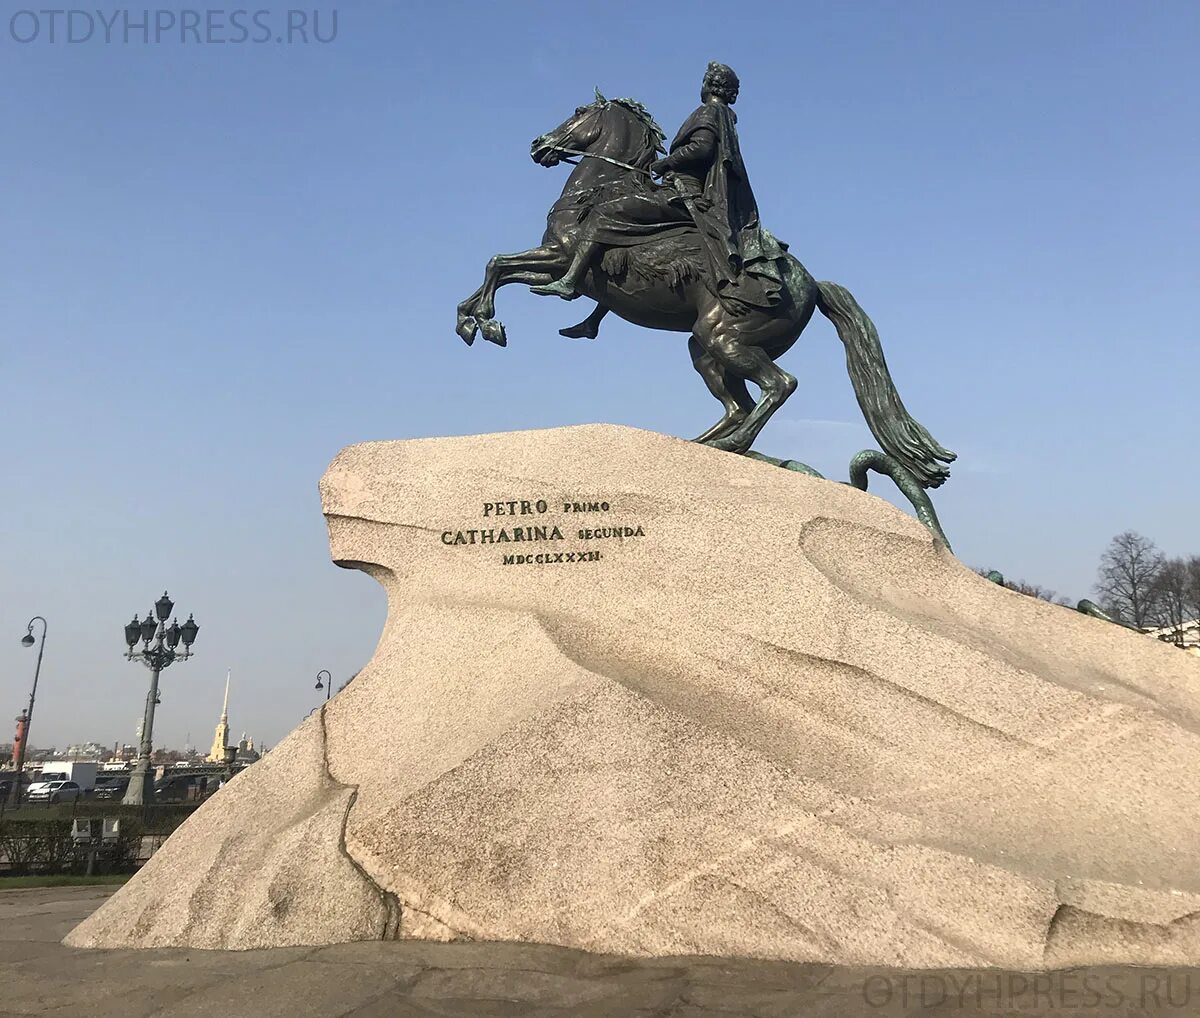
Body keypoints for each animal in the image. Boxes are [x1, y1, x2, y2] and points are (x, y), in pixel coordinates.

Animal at [453, 94, 950, 484]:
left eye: (578, 112)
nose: (539, 146)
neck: (599, 189)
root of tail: (810, 283)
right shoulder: (560, 265)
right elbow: (499, 270)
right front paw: (472, 320)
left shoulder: (561, 255)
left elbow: (502, 266)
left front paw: (485, 323)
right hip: (707, 347)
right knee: (739, 404)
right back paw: (706, 444)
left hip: (724, 339)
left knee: (779, 386)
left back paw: (732, 444)